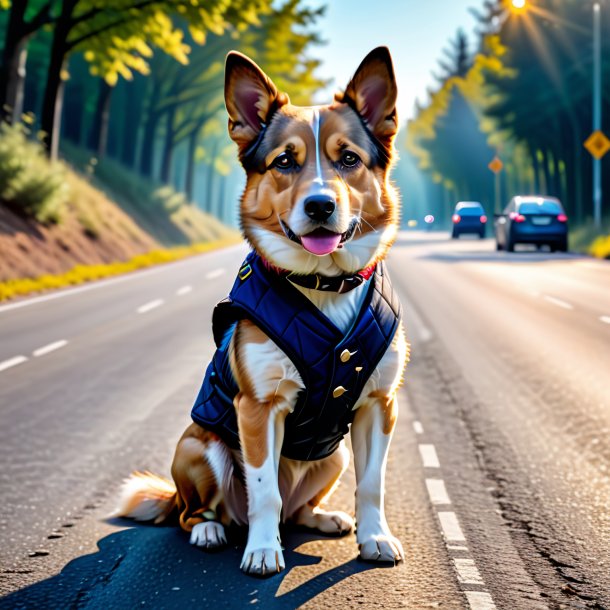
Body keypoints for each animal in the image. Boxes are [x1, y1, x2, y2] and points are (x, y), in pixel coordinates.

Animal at [117, 47, 408, 576]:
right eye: (284, 162)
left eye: (349, 159)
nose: (319, 206)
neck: (323, 283)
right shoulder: (257, 409)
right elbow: (264, 491)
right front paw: (262, 551)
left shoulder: (379, 404)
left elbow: (373, 484)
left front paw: (375, 537)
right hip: (200, 447)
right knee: (199, 513)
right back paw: (212, 530)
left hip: (333, 457)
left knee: (296, 510)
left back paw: (323, 519)